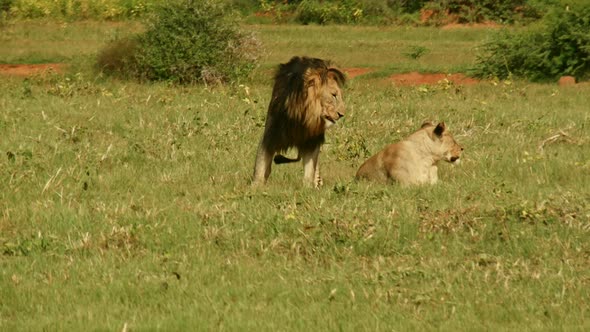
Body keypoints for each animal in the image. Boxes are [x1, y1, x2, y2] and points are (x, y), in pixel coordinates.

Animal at [253, 55, 346, 188]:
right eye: (334, 95)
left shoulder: (312, 141)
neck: (303, 116)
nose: (342, 114)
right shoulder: (271, 134)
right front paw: (255, 186)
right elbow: (261, 163)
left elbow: (310, 168)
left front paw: (308, 187)